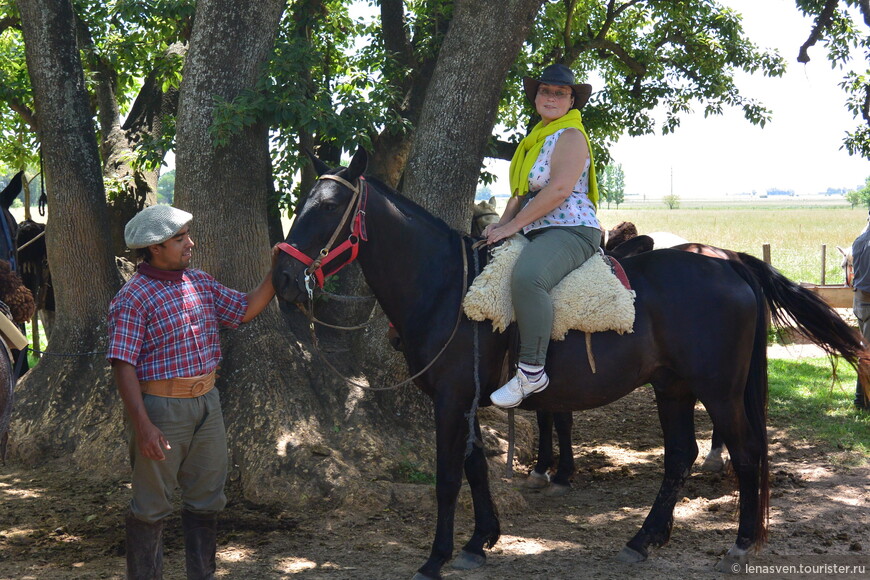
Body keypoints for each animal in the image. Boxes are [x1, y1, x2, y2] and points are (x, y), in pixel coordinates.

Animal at [272, 150, 864, 580]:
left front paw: (436, 558)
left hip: (717, 389)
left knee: (743, 452)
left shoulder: (451, 400)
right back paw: (643, 540)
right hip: (672, 387)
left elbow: (448, 476)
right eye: (302, 202)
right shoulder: (466, 400)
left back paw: (739, 546)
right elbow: (475, 466)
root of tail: (729, 260)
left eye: (329, 207)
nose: (282, 280)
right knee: (680, 456)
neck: (447, 287)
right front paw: (480, 541)